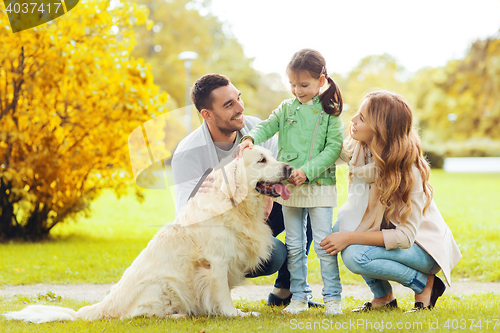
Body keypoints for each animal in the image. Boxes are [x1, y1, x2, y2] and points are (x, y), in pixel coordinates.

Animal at [3, 146, 292, 322]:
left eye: (272, 156)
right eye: (261, 160)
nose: (289, 168)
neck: (236, 205)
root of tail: (105, 304)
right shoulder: (216, 263)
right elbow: (222, 294)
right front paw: (235, 314)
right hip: (161, 285)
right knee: (135, 315)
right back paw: (179, 315)